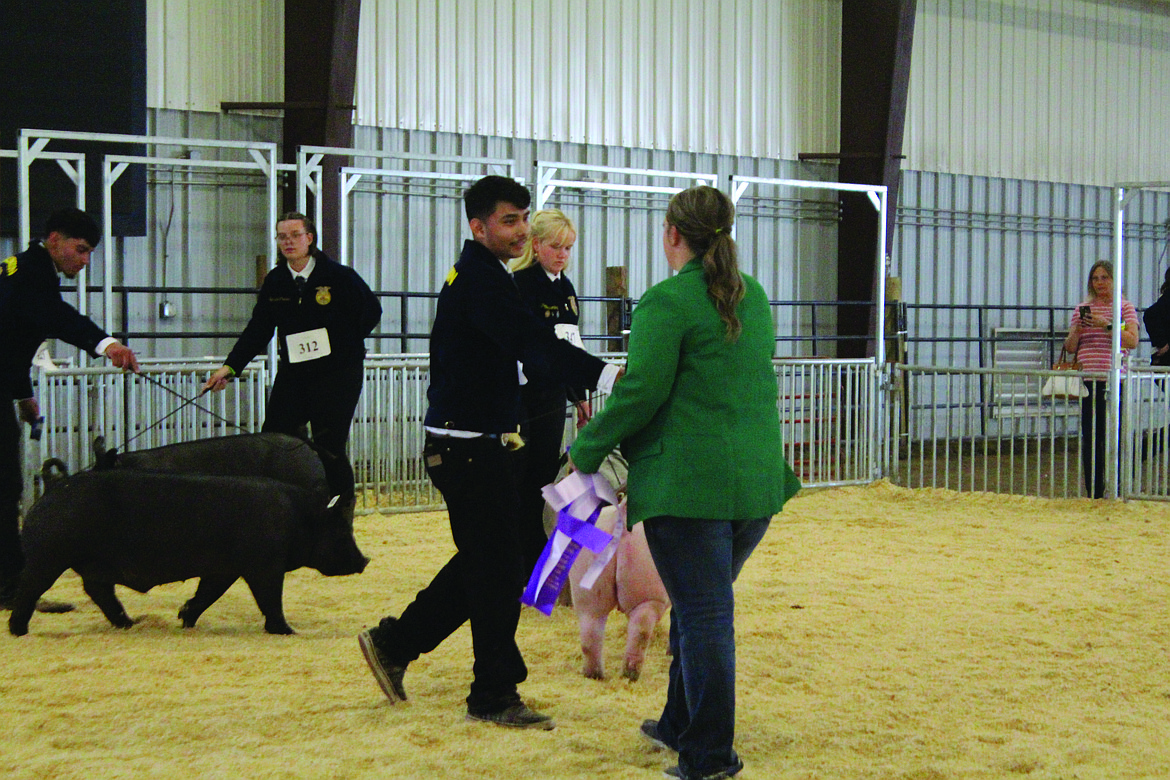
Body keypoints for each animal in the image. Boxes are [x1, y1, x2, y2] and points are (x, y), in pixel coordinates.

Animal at [6, 467, 367, 636]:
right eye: (341, 530)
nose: (365, 560)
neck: (299, 517)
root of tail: (51, 492)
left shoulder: (224, 568)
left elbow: (207, 594)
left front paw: (184, 618)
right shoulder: (263, 565)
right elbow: (269, 598)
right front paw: (287, 631)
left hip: (90, 563)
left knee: (99, 591)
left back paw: (130, 624)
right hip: (49, 556)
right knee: (29, 588)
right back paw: (18, 630)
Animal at [568, 502, 673, 678]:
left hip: (587, 587)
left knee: (590, 627)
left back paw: (593, 674)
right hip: (649, 592)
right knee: (641, 629)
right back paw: (630, 674)